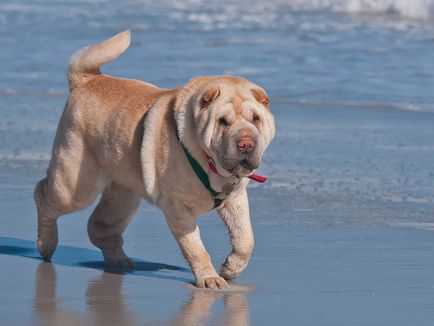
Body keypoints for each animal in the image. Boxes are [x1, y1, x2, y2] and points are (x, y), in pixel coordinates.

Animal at [35, 30, 276, 290]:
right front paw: (209, 277)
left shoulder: (236, 198)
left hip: (124, 195)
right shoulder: (178, 208)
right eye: (222, 121)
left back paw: (120, 262)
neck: (209, 162)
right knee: (43, 195)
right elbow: (195, 247)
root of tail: (87, 80)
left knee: (100, 226)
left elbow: (245, 239)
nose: (246, 142)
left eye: (255, 119)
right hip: (75, 186)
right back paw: (46, 245)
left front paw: (230, 268)